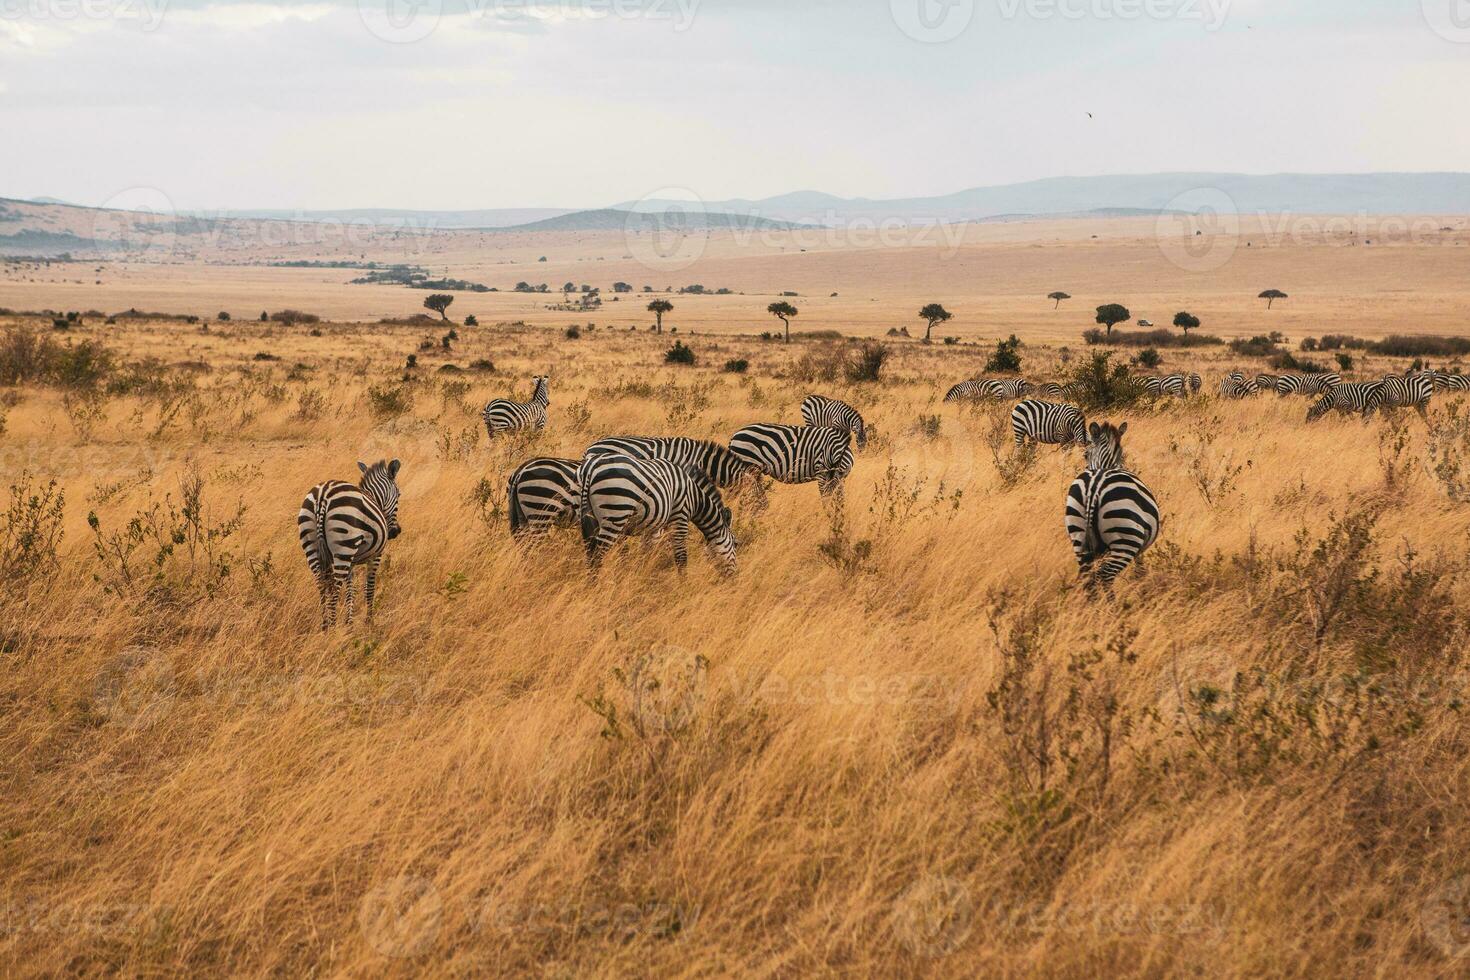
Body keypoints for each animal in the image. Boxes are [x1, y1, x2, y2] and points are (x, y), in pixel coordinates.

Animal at [296, 458, 402, 628]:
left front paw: (349, 623)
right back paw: (333, 628)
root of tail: (322, 496)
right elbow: (369, 587)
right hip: (343, 547)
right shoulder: (376, 555)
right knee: (334, 590)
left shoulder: (351, 560)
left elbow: (350, 589)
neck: (375, 498)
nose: (395, 532)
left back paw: (325, 625)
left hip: (312, 545)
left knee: (321, 585)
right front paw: (369, 621)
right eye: (399, 495)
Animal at [573, 455, 735, 575]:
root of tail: (590, 467)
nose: (734, 578)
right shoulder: (680, 517)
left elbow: (646, 553)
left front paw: (644, 577)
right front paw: (684, 587)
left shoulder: (653, 527)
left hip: (591, 517)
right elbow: (681, 557)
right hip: (615, 513)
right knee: (597, 555)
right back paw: (595, 587)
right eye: (736, 544)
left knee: (590, 553)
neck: (695, 498)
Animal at [1064, 423, 1164, 593]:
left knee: (1088, 578)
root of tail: (1094, 487)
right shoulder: (1140, 547)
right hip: (1125, 538)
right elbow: (1140, 569)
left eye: (1085, 455)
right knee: (1105, 575)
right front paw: (1142, 588)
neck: (1109, 464)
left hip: (1078, 535)